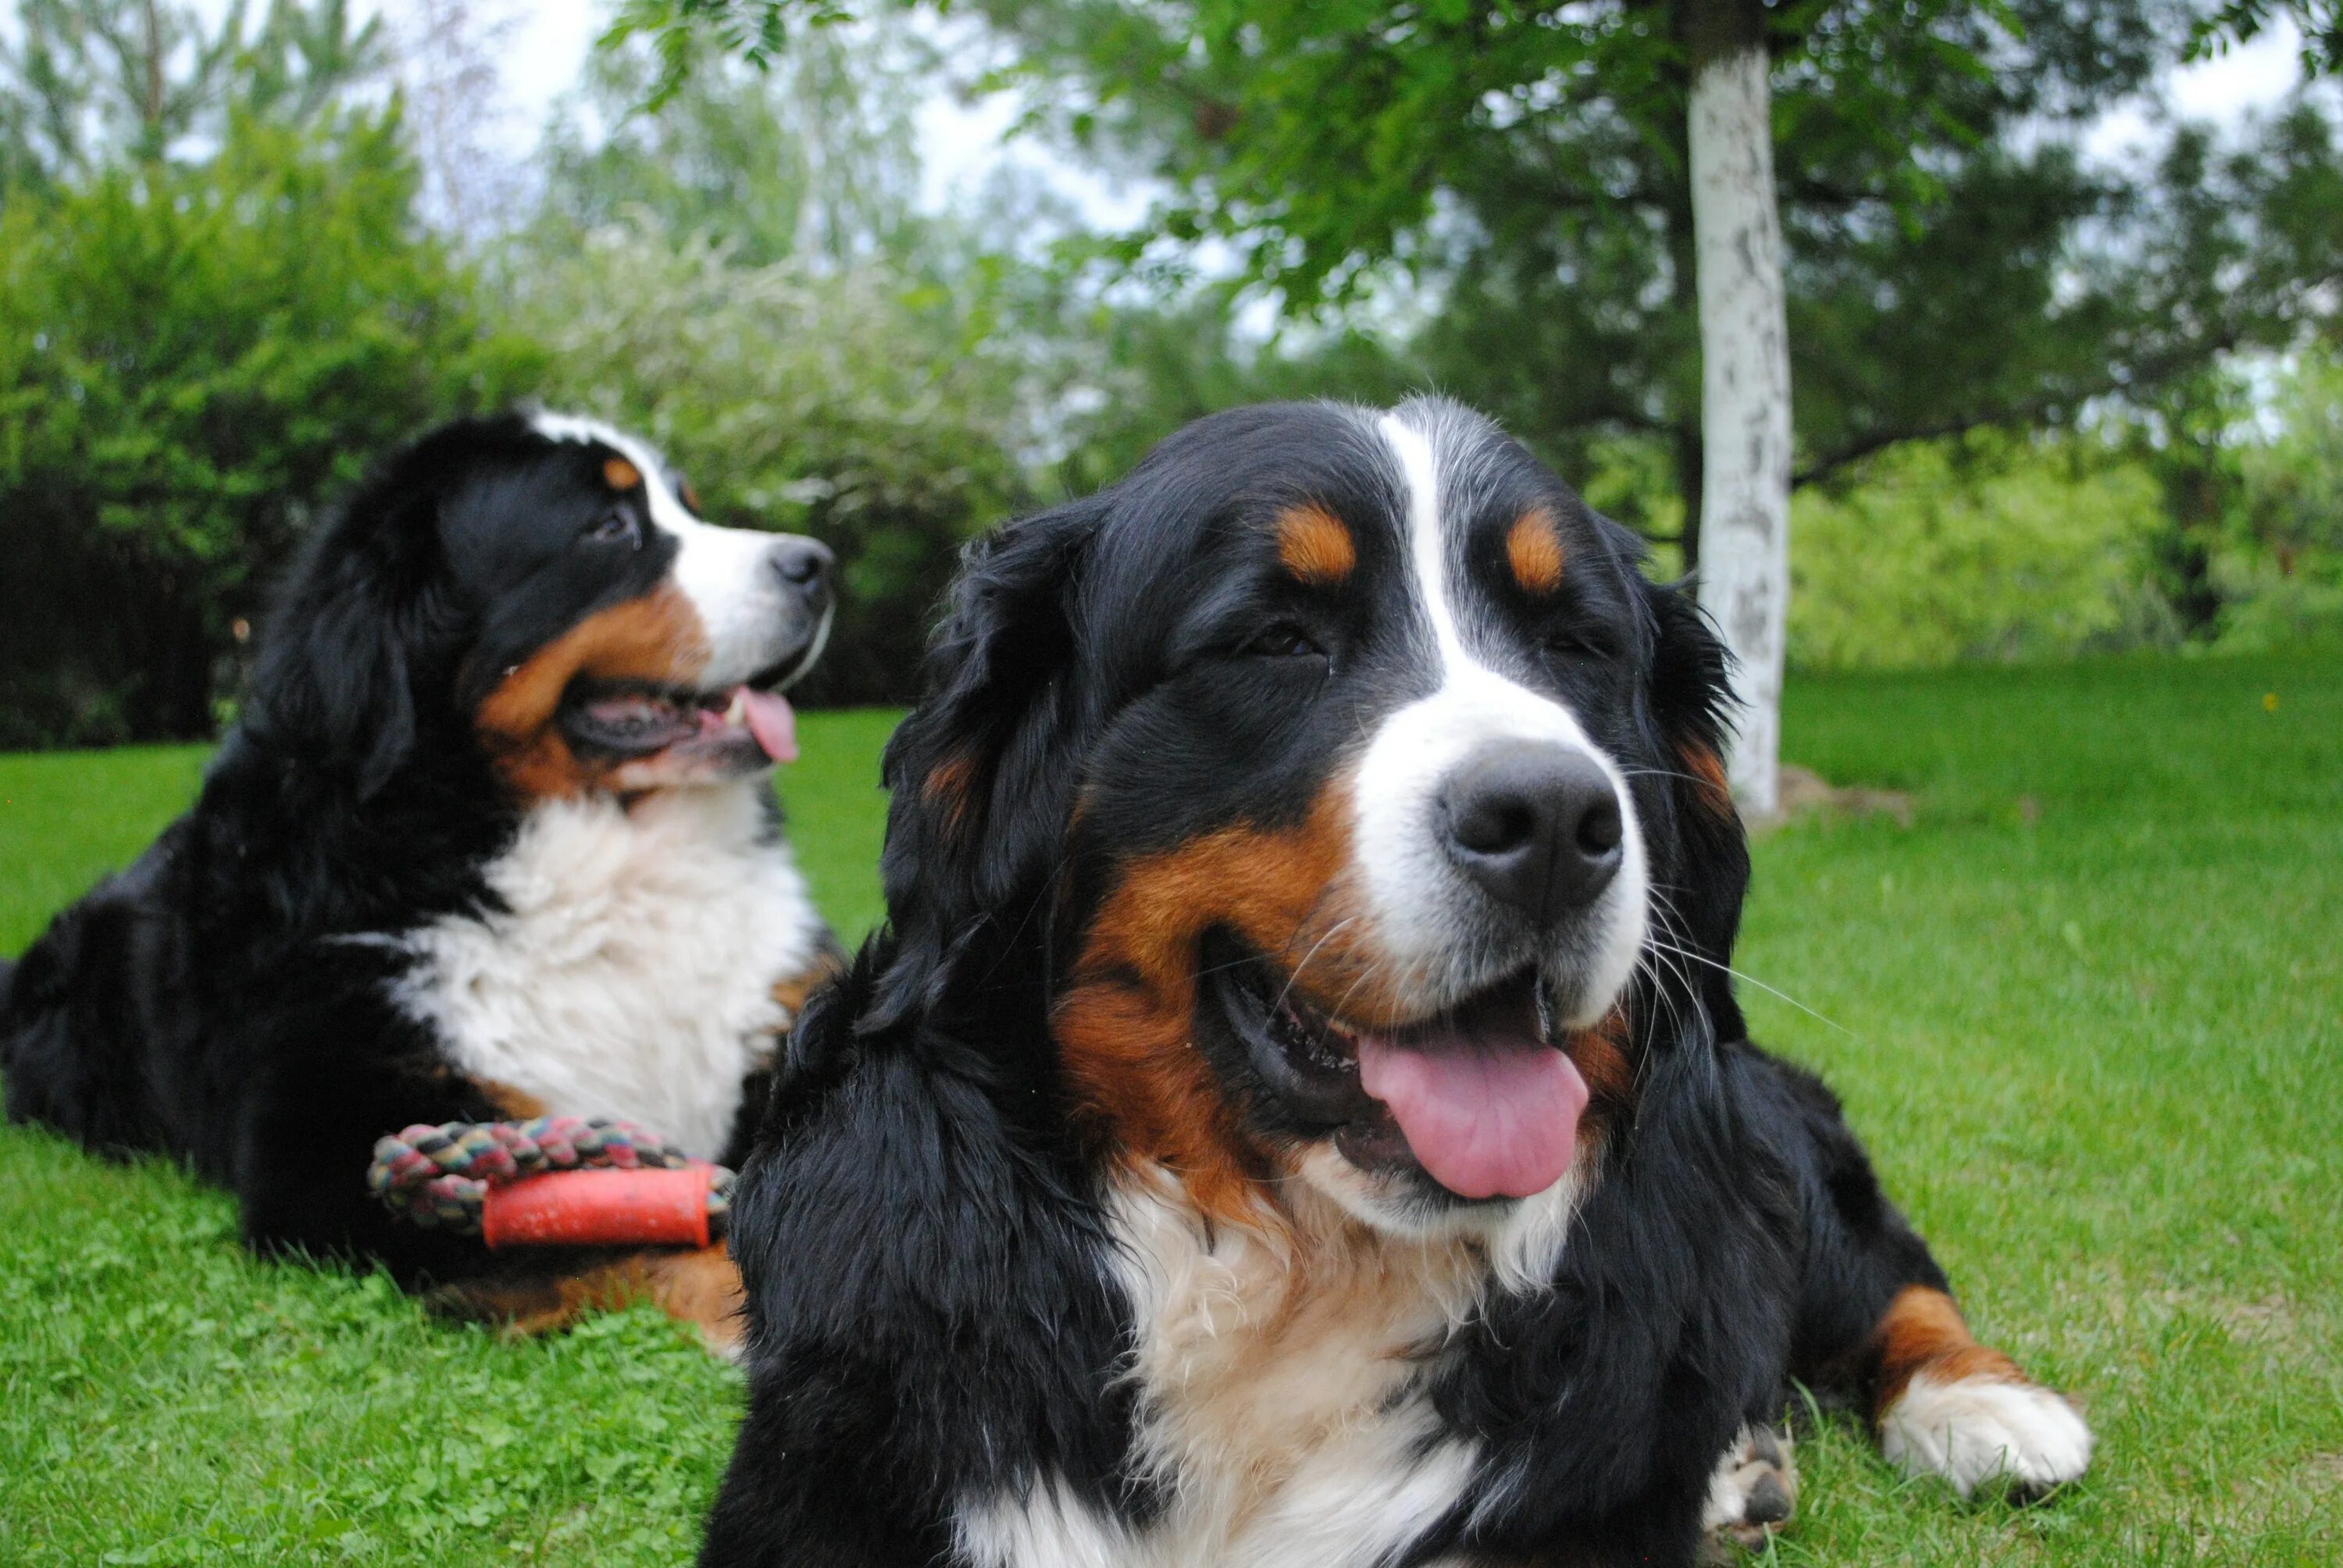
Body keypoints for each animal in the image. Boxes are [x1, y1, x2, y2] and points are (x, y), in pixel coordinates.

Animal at [0, 410, 843, 1349]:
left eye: (687, 506)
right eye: (607, 528)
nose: (816, 564)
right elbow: (648, 1227)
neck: (611, 863)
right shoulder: (336, 1154)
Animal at [694, 401, 2090, 1565]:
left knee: (1883, 1275)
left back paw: (1989, 1409)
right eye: (1277, 638)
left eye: (1577, 645)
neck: (1294, 1272)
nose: (1553, 818)